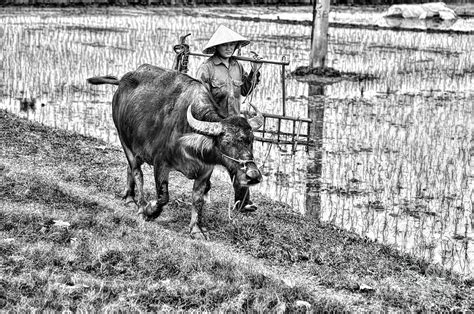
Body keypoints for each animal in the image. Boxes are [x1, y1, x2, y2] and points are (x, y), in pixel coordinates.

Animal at [87, 65, 262, 239]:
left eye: (251, 140)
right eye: (226, 142)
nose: (253, 176)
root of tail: (122, 80)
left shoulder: (205, 171)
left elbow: (198, 199)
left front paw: (196, 229)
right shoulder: (160, 163)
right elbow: (163, 196)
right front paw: (150, 210)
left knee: (130, 168)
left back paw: (129, 197)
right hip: (124, 140)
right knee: (137, 172)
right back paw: (140, 206)